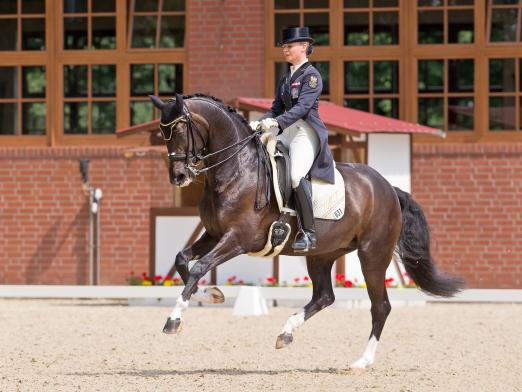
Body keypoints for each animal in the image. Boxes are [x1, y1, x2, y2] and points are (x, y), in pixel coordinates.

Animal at [149, 93, 460, 372]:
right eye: (162, 133)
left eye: (179, 129)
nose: (179, 177)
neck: (237, 171)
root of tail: (388, 187)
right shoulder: (214, 234)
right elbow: (182, 260)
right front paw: (211, 295)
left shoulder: (238, 238)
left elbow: (199, 266)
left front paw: (174, 320)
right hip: (322, 254)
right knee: (325, 296)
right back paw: (286, 333)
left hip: (373, 254)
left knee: (380, 306)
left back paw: (361, 362)